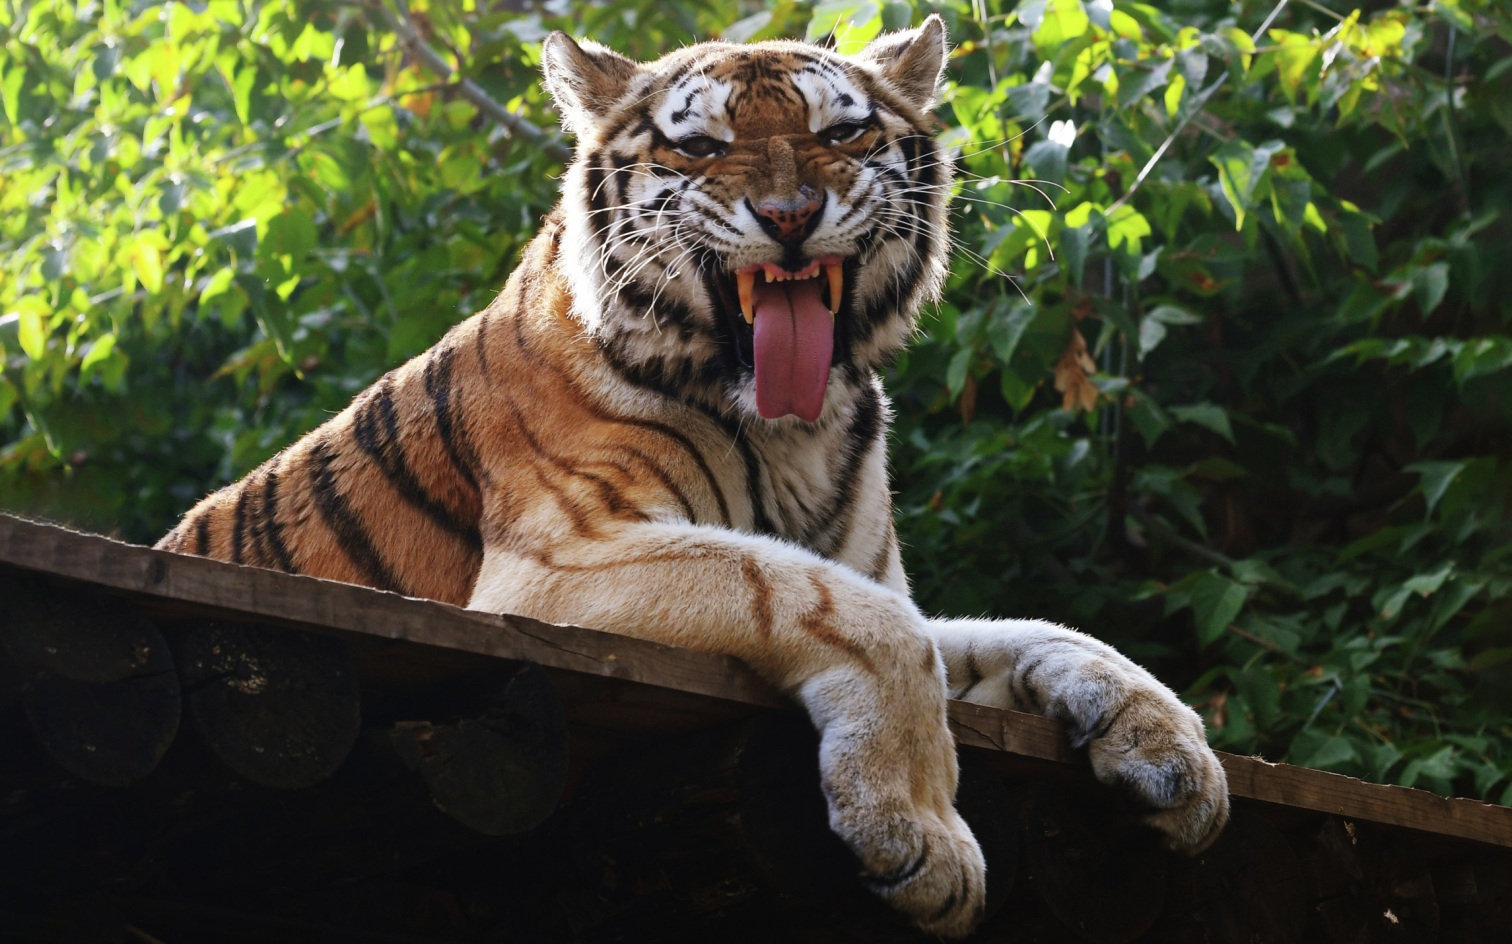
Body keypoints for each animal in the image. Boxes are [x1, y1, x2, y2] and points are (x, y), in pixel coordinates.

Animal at [157, 16, 1228, 937]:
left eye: (841, 131)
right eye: (703, 146)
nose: (791, 215)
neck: (797, 431)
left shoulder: (872, 571)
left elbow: (1026, 634)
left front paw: (1176, 752)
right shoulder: (553, 568)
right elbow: (852, 616)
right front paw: (925, 841)